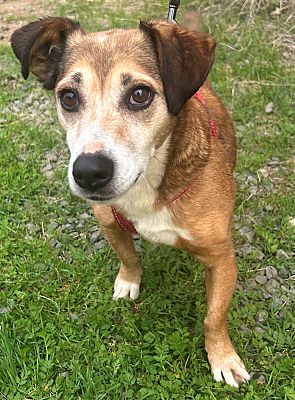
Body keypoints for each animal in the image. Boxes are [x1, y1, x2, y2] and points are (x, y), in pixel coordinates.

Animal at [11, 14, 252, 386]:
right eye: (68, 97)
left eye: (140, 94)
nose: (88, 172)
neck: (148, 183)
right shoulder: (108, 222)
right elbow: (128, 256)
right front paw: (128, 282)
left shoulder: (221, 258)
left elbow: (214, 317)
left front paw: (223, 358)